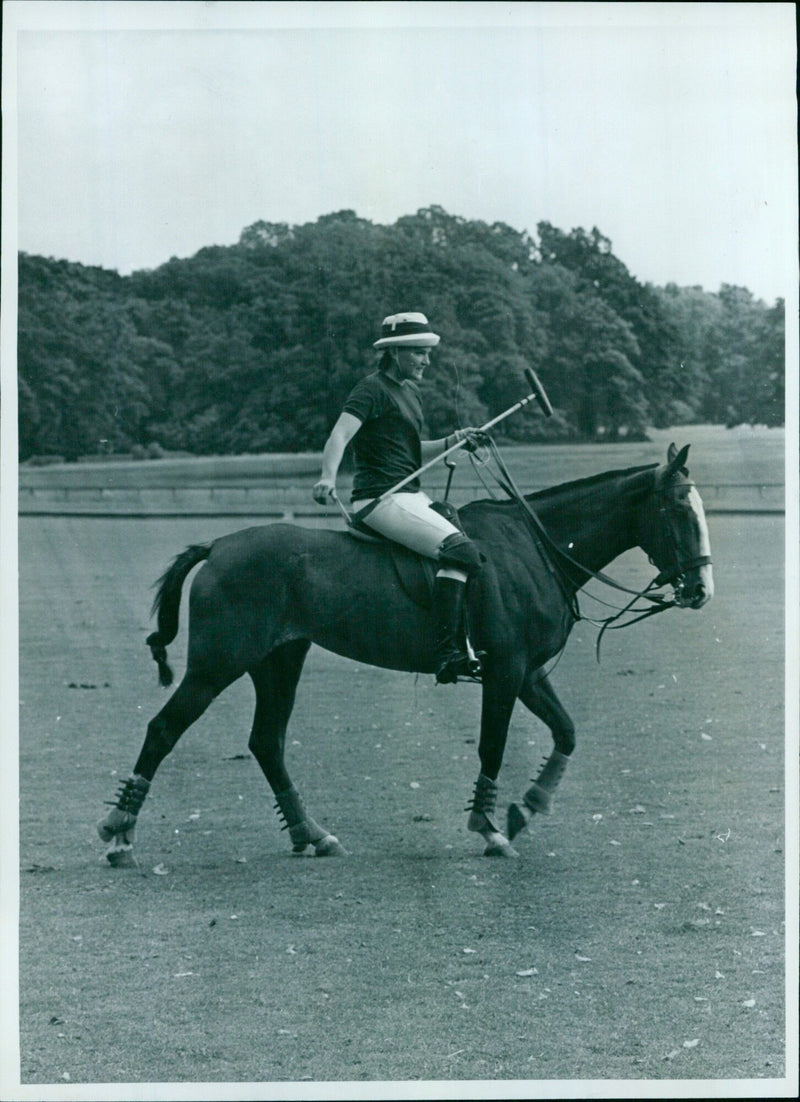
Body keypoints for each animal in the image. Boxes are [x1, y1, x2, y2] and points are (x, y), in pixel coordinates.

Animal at [96, 438, 718, 859]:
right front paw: (490, 828)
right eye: (678, 509)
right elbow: (492, 747)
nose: (701, 590)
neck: (534, 547)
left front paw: (526, 808)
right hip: (218, 661)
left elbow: (566, 732)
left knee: (266, 741)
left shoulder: (529, 672)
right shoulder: (506, 670)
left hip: (280, 659)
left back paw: (311, 833)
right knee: (164, 729)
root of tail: (217, 545)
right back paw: (119, 834)